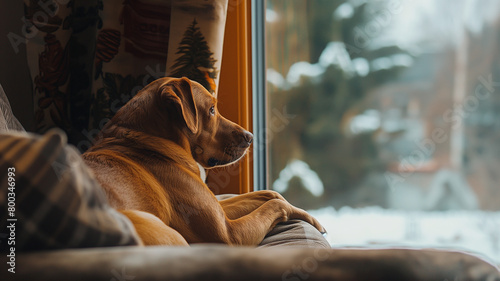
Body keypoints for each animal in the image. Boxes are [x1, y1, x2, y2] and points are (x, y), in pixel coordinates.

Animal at [82, 76, 324, 245]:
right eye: (212, 109)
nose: (251, 137)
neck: (148, 142)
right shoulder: (229, 233)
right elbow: (276, 204)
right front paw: (309, 218)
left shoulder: (219, 207)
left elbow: (269, 194)